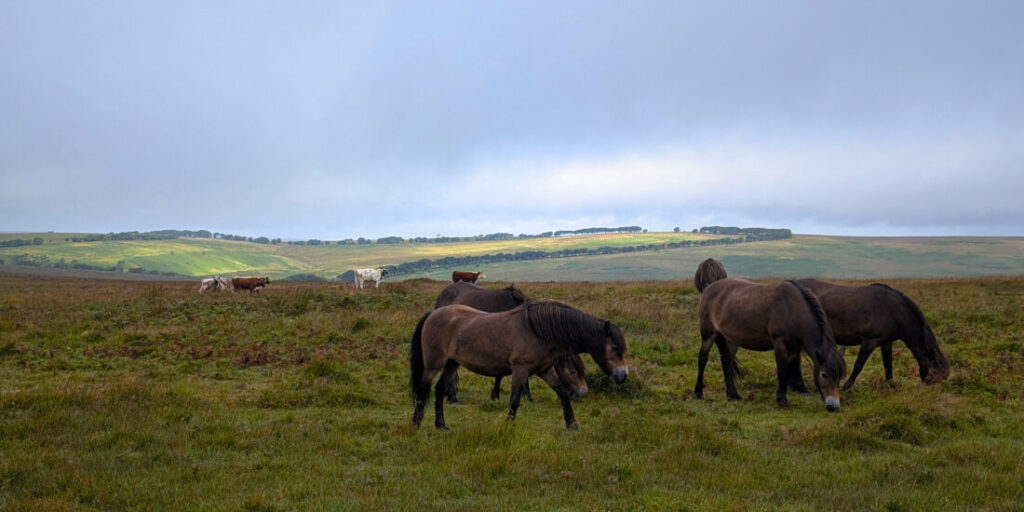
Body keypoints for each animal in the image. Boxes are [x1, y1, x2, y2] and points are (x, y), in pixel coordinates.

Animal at [410, 301, 628, 430]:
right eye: (614, 348)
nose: (623, 376)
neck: (538, 330)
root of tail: (433, 313)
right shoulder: (520, 370)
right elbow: (514, 400)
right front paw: (508, 427)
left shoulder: (545, 371)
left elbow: (563, 393)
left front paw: (572, 423)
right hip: (433, 364)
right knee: (423, 389)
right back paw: (416, 424)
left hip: (452, 364)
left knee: (439, 390)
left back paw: (441, 425)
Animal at [434, 282, 587, 404]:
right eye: (573, 372)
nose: (583, 393)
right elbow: (500, 374)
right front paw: (496, 395)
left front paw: (527, 397)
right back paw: (453, 398)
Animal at [693, 258, 846, 412]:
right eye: (824, 375)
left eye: (840, 376)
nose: (834, 406)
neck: (793, 309)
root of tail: (709, 288)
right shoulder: (779, 344)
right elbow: (782, 372)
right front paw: (781, 400)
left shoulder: (794, 348)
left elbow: (790, 369)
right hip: (708, 334)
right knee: (702, 359)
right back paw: (698, 393)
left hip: (730, 339)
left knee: (726, 362)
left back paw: (733, 395)